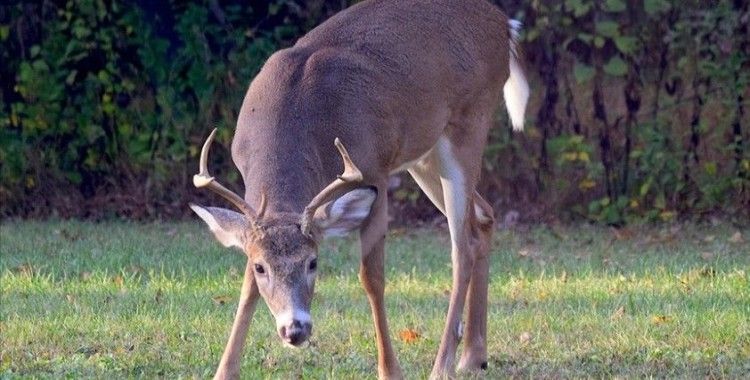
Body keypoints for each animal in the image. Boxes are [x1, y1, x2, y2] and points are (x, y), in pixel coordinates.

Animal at [188, 0, 528, 378]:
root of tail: (504, 25)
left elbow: (372, 277)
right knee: (483, 217)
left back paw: (443, 365)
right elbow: (247, 287)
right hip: (423, 155)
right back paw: (473, 356)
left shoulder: (375, 170)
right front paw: (224, 370)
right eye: (262, 267)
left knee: (462, 247)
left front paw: (390, 370)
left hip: (469, 125)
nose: (295, 330)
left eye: (313, 262)